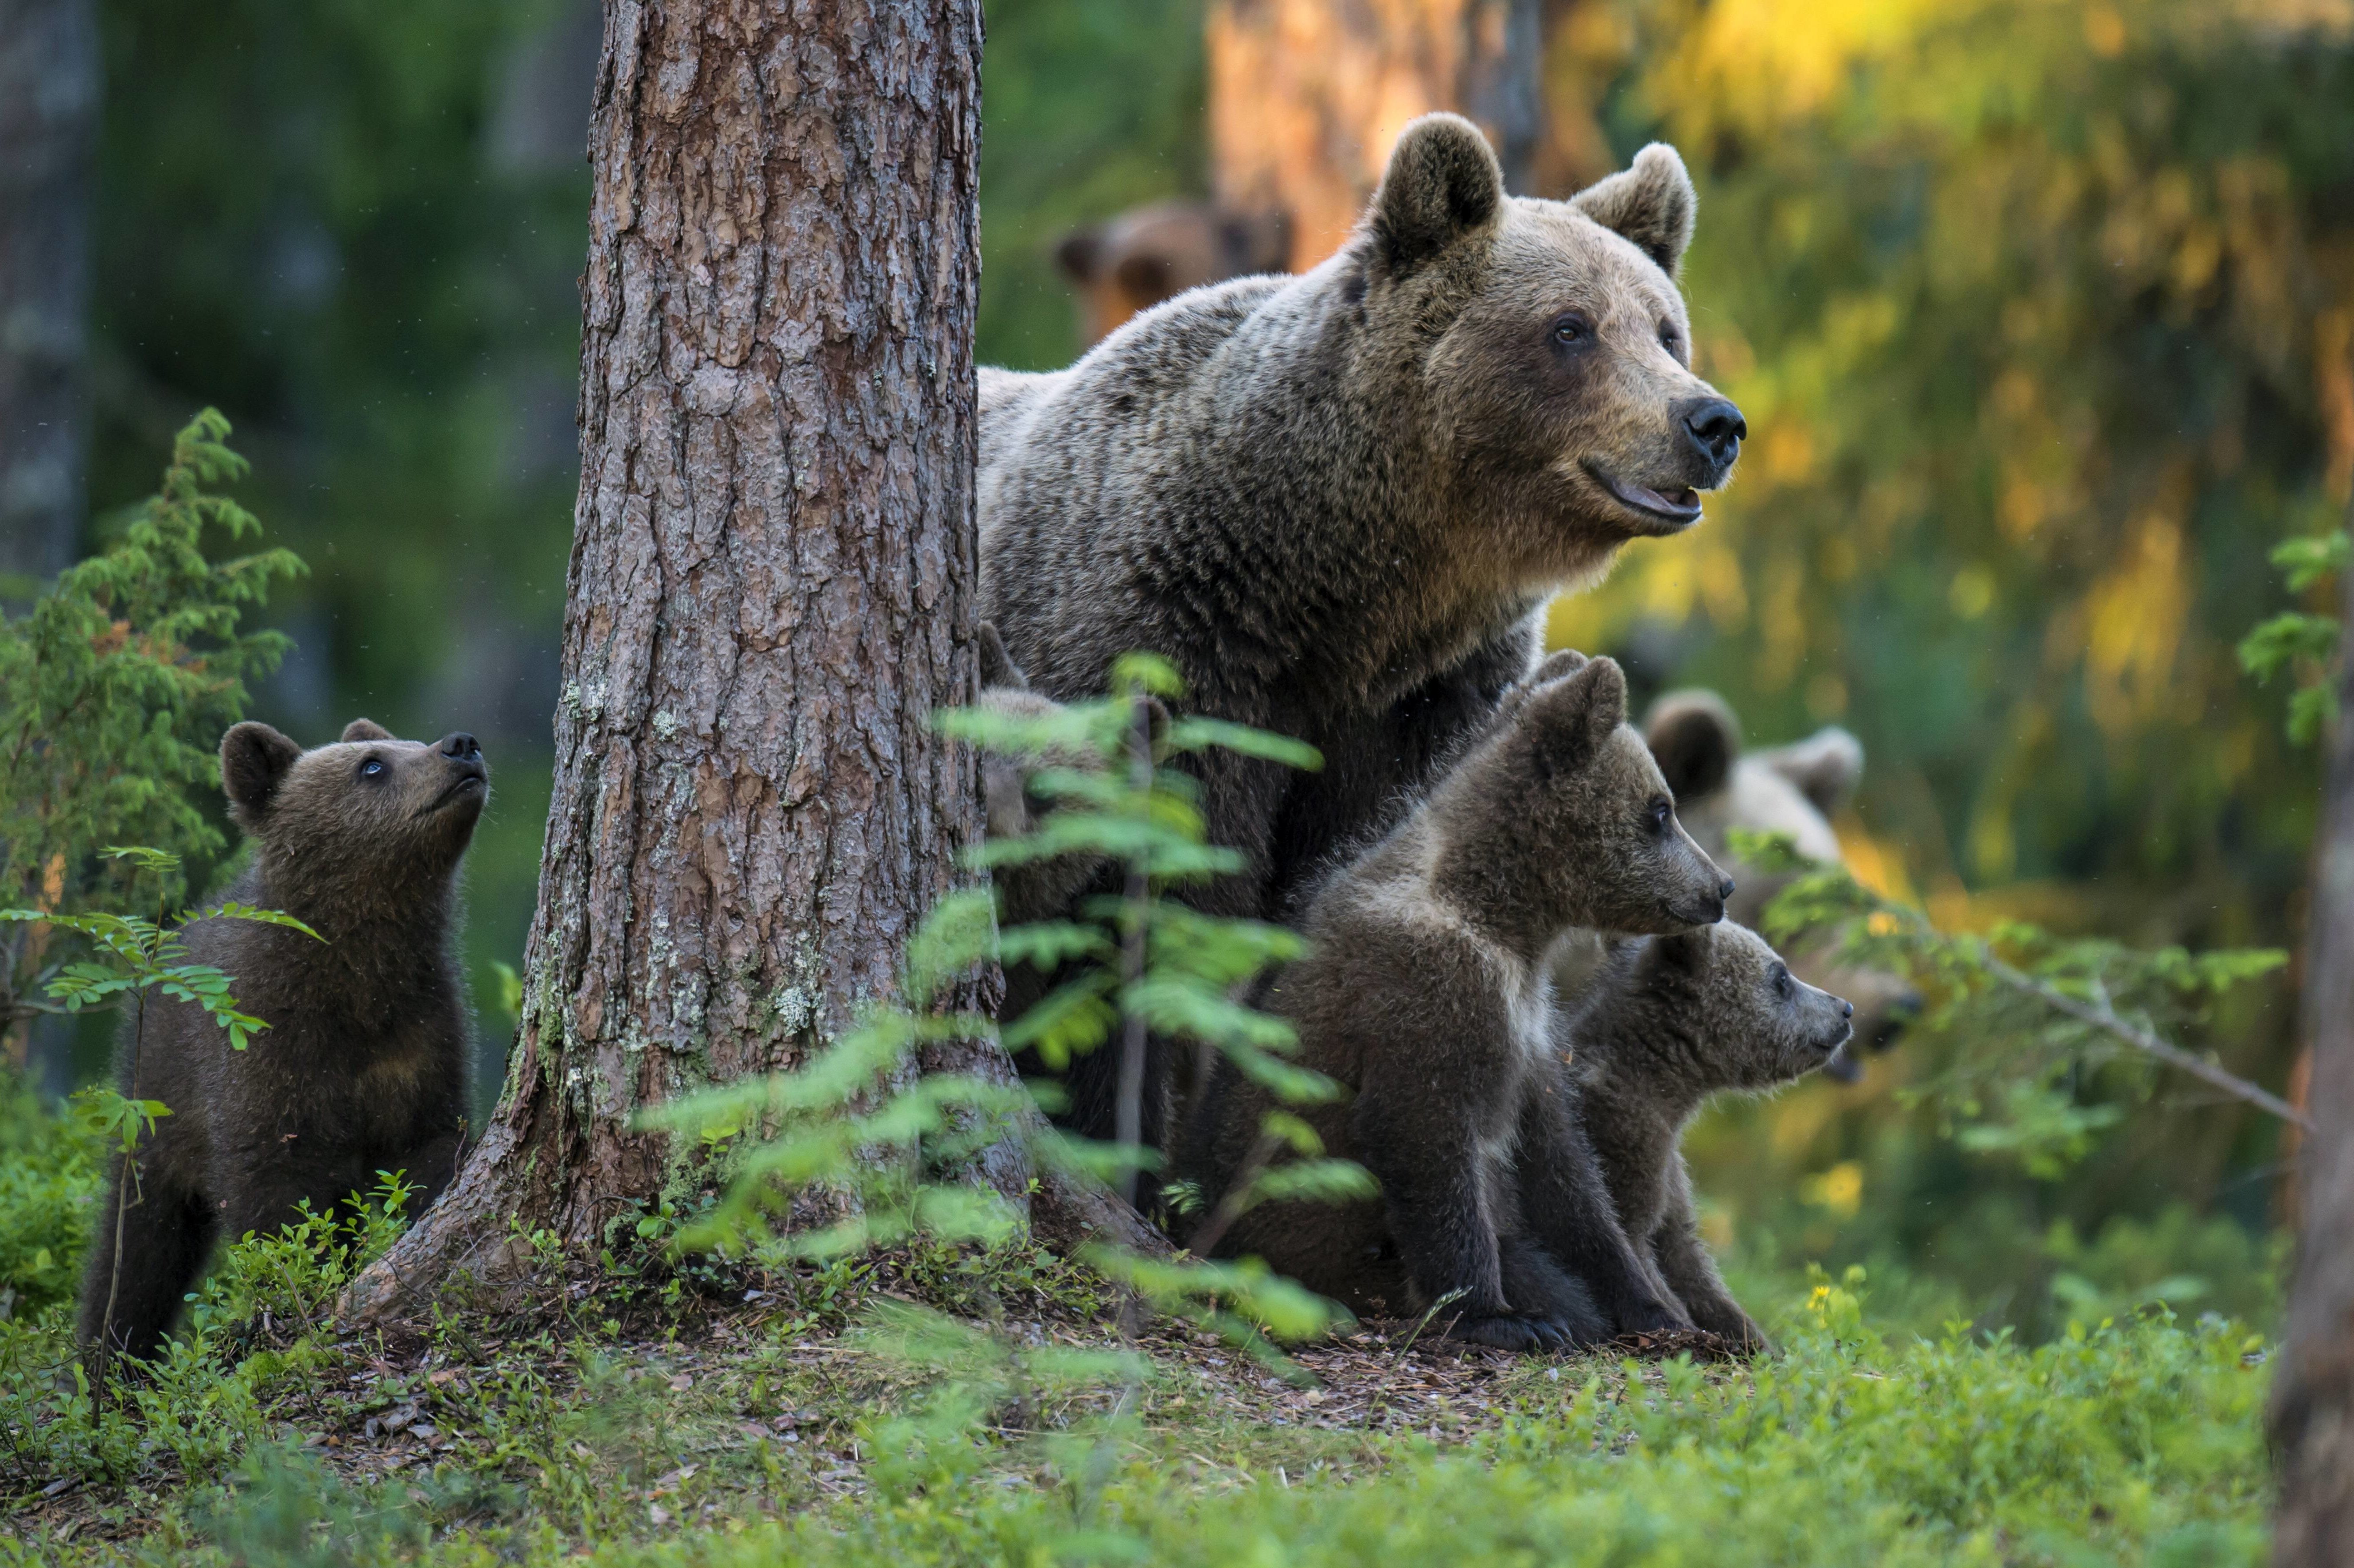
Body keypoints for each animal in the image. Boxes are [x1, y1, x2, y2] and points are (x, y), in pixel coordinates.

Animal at [77, 715, 482, 1365]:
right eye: (372, 764)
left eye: (407, 743)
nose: (461, 746)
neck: (359, 971)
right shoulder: (266, 1046)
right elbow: (276, 1191)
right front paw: (296, 1287)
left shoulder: (420, 1032)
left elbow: (431, 1145)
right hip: (156, 1109)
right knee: (138, 1249)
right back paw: (108, 1362)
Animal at [979, 107, 1751, 1135]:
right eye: (1571, 326)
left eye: (1667, 329)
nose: (1709, 423)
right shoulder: (1162, 646)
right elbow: (1139, 922)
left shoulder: (1422, 701)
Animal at [1186, 654, 1742, 1346]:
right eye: (1660, 809)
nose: (1720, 885)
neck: (1505, 917)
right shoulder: (1428, 987)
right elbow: (1429, 1139)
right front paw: (1502, 1316)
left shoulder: (1532, 1028)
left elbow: (1566, 1175)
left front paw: (1655, 1308)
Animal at [1544, 918, 1855, 1346]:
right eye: (1781, 976)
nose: (1845, 1009)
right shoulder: (1622, 1138)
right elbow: (1638, 1243)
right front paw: (1685, 1329)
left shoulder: (1672, 1172)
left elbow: (1688, 1259)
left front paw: (1753, 1340)